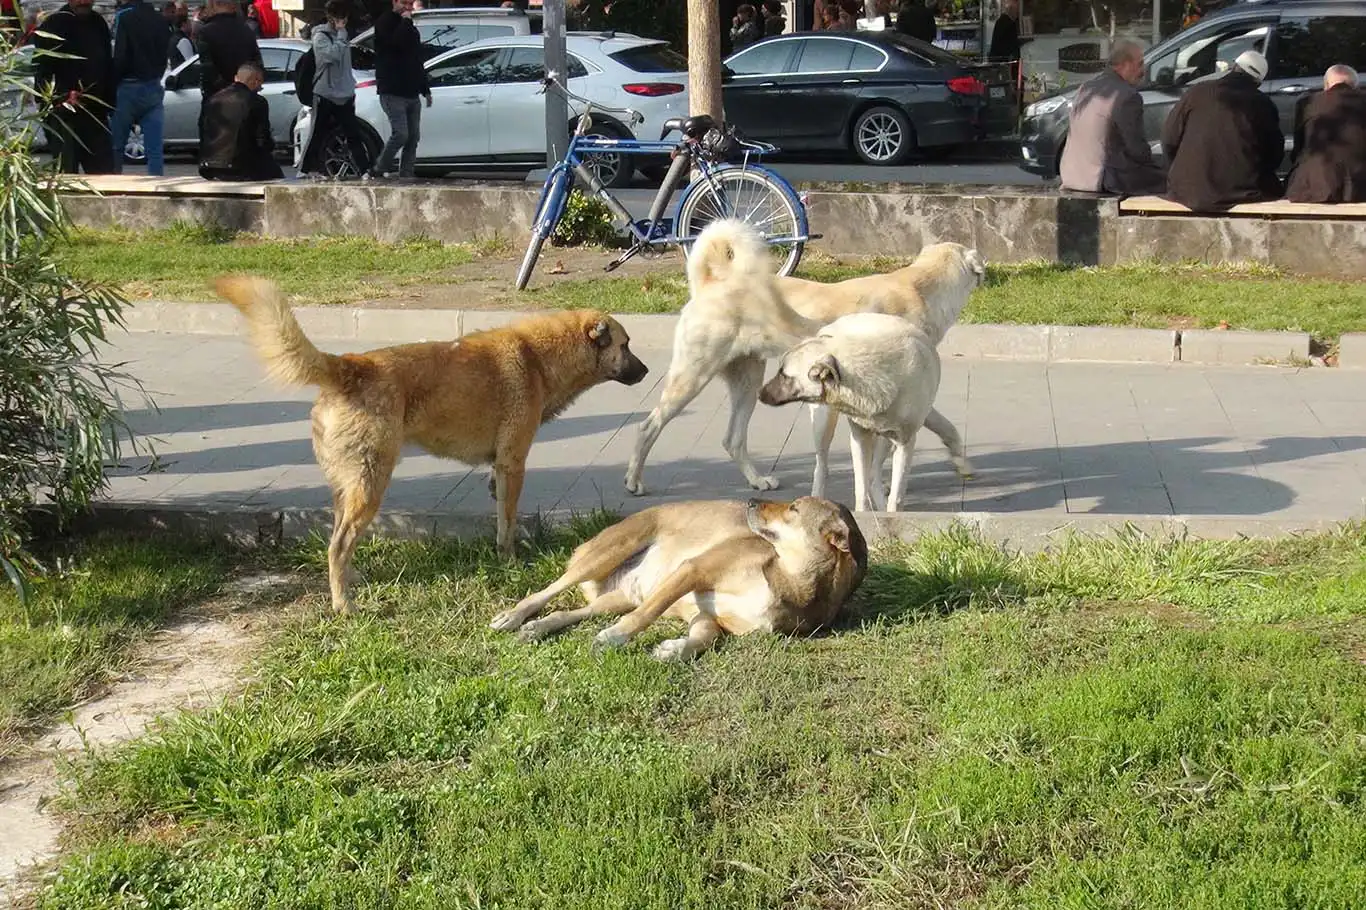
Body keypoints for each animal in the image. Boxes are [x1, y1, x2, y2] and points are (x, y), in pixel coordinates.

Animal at [491, 497, 863, 658]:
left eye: (794, 509)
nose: (751, 500)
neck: (788, 578)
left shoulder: (707, 614)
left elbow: (704, 640)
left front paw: (672, 650)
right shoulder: (692, 570)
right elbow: (644, 617)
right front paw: (614, 638)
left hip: (615, 599)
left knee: (565, 612)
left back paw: (537, 628)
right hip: (605, 554)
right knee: (545, 593)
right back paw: (513, 616)